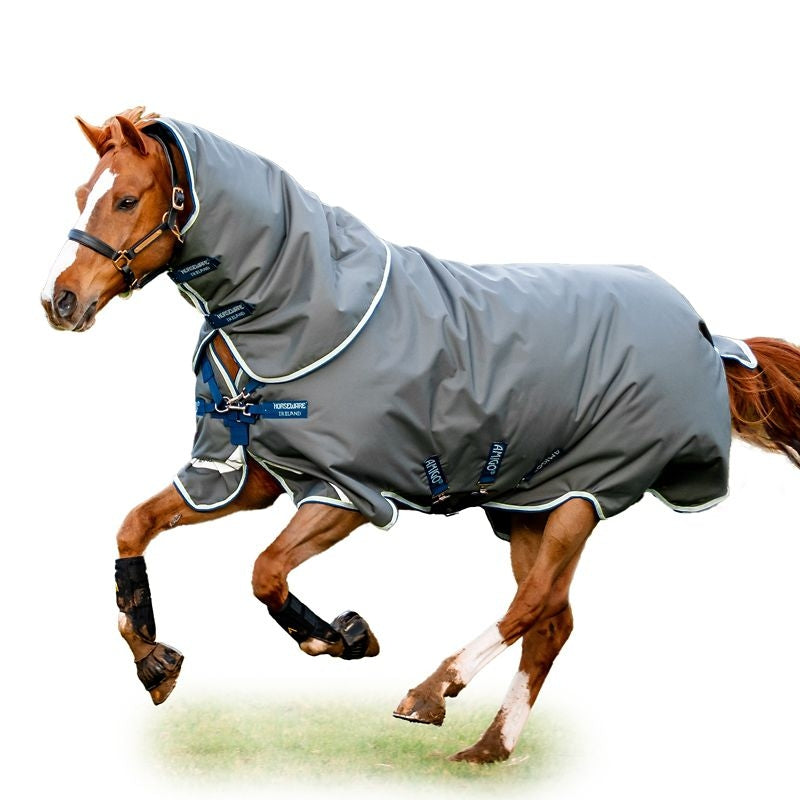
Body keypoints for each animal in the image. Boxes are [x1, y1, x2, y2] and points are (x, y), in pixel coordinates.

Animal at [41, 107, 800, 765]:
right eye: (82, 193)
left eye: (127, 199)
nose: (61, 301)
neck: (303, 307)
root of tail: (707, 335)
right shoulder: (251, 477)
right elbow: (135, 526)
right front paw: (154, 661)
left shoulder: (347, 492)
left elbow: (265, 572)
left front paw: (344, 636)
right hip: (532, 504)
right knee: (552, 620)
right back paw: (488, 748)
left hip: (588, 493)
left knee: (533, 604)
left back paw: (431, 693)